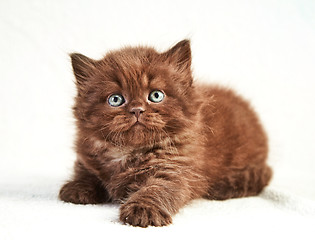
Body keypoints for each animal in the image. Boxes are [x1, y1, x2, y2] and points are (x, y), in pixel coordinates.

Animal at [59, 39, 272, 227]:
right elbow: (86, 173)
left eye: (156, 95)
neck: (127, 153)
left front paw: (142, 210)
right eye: (116, 99)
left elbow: (157, 189)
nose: (136, 110)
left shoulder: (174, 169)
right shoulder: (86, 157)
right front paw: (76, 188)